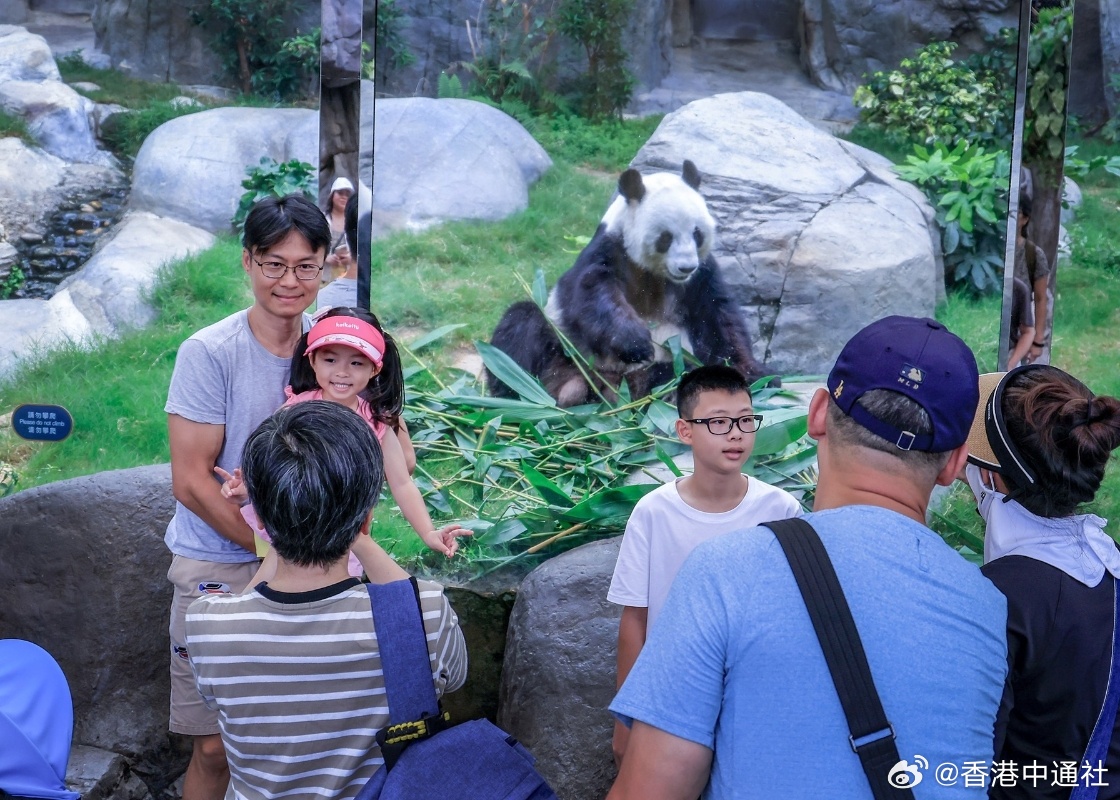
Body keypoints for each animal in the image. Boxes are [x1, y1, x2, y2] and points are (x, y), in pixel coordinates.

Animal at [490, 160, 770, 407]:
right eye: (666, 237)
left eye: (697, 233)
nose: (686, 267)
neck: (654, 272)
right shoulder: (610, 253)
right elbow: (591, 297)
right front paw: (637, 342)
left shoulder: (700, 277)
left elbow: (718, 319)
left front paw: (755, 373)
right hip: (563, 353)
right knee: (522, 325)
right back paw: (516, 395)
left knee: (679, 373)